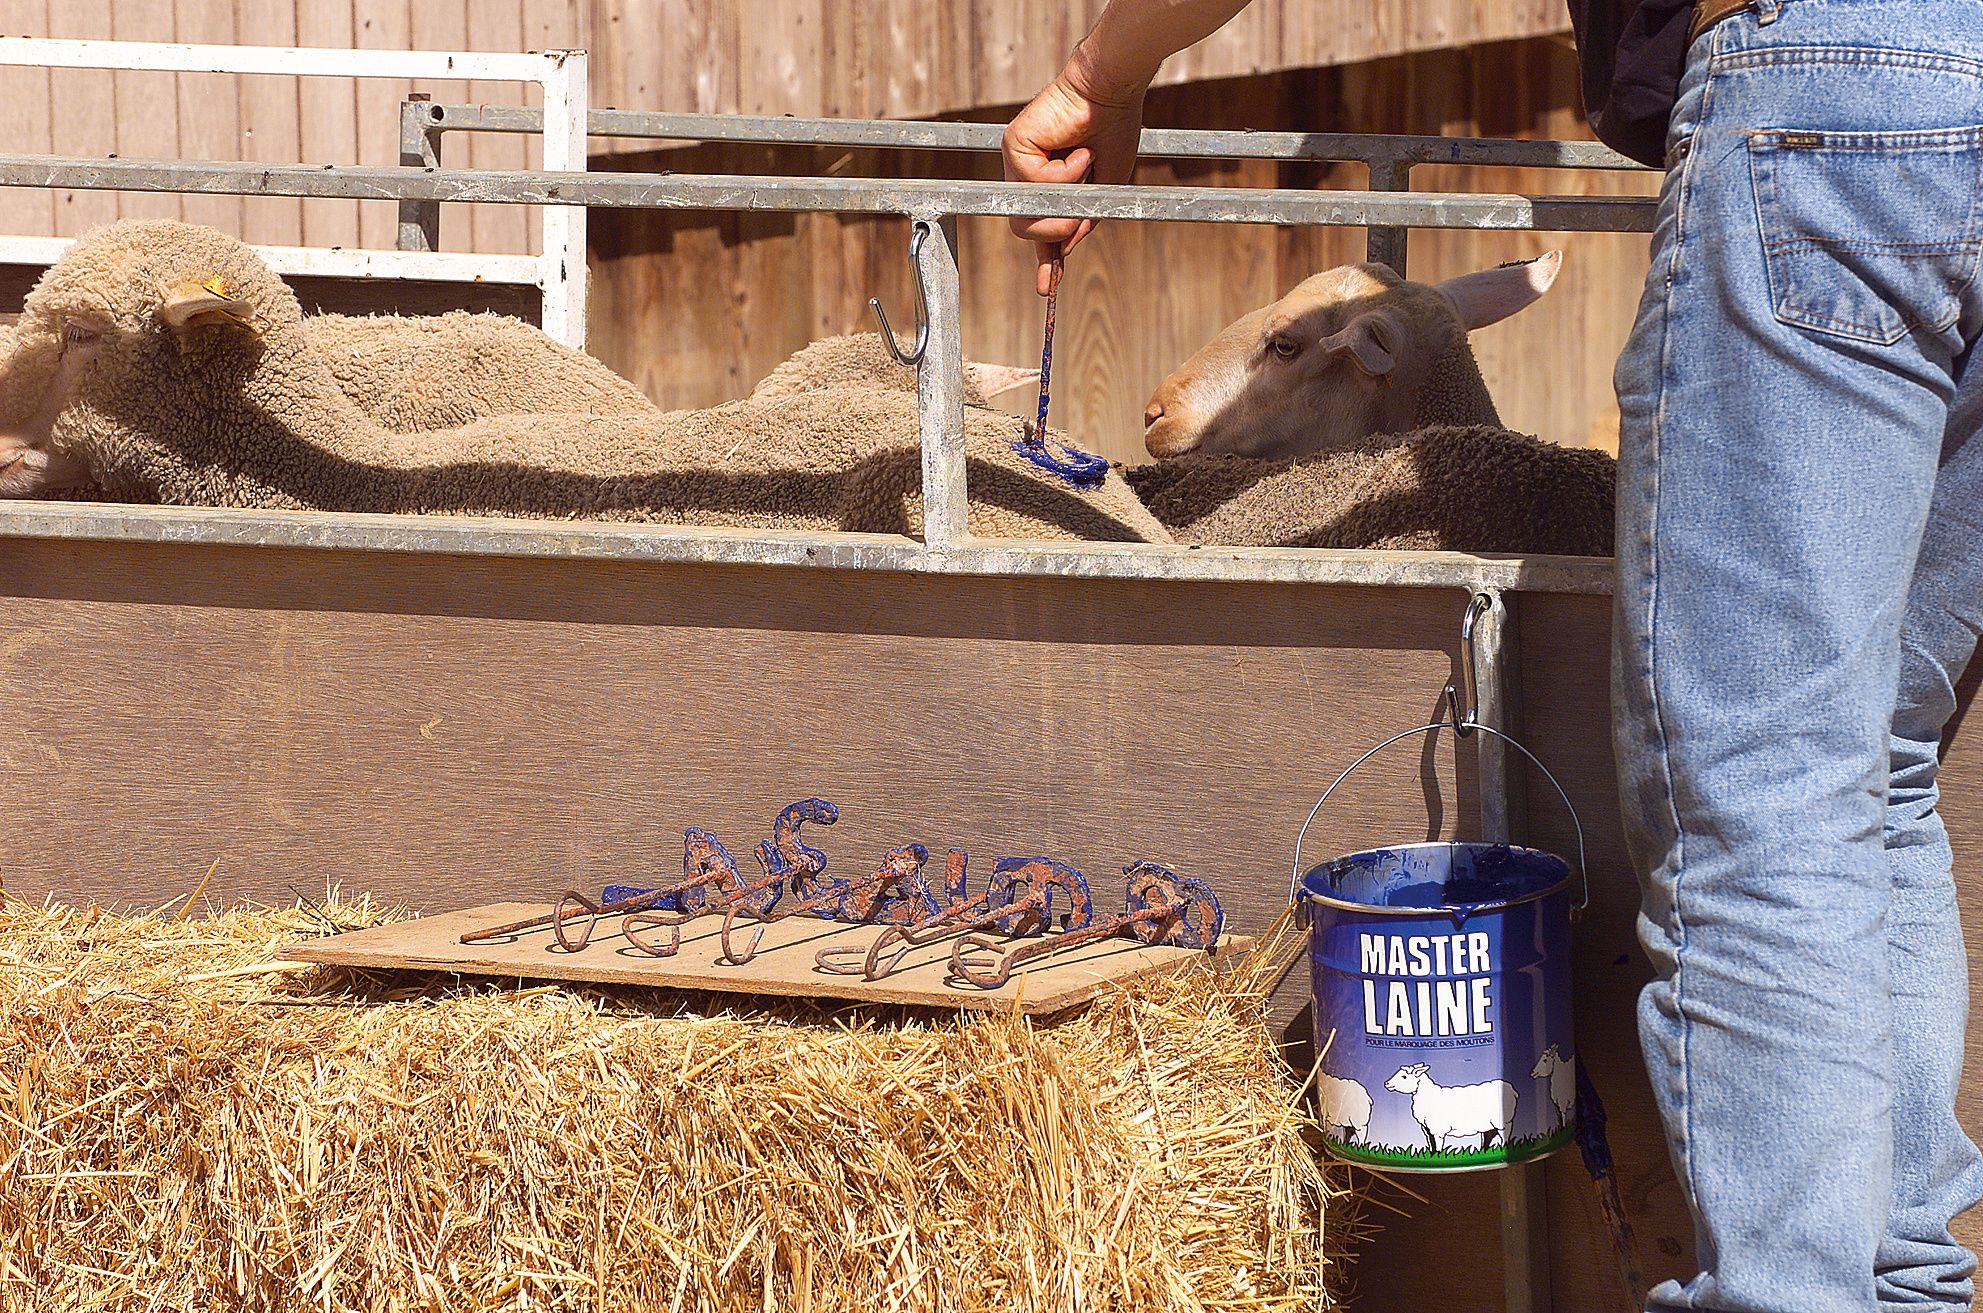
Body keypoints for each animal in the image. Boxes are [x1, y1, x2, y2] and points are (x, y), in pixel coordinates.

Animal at [1384, 1063, 1519, 1153]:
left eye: (1404, 1077)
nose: (1386, 1083)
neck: (1429, 1096)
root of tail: (1512, 1089)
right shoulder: (1427, 1130)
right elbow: (1431, 1145)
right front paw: (1432, 1156)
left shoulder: (1438, 1130)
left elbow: (1439, 1146)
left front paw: (1439, 1156)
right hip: (1487, 1124)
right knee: (1487, 1137)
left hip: (1503, 1122)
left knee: (1505, 1134)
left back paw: (1503, 1148)